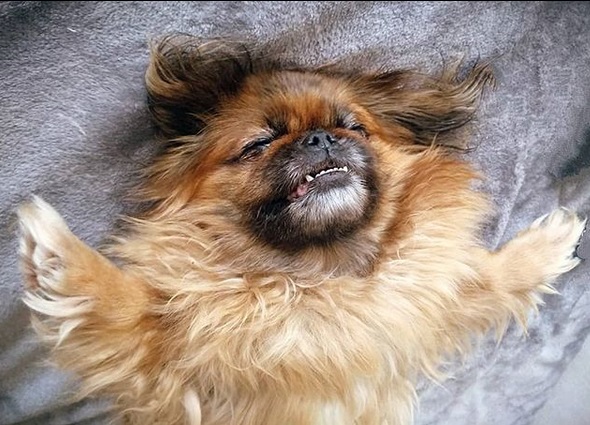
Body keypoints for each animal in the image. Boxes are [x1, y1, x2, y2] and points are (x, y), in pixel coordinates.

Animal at [17, 37, 588, 424]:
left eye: (352, 126)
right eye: (258, 145)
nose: (320, 137)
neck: (321, 277)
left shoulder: (423, 307)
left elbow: (484, 280)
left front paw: (552, 241)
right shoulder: (171, 374)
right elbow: (123, 308)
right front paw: (57, 249)